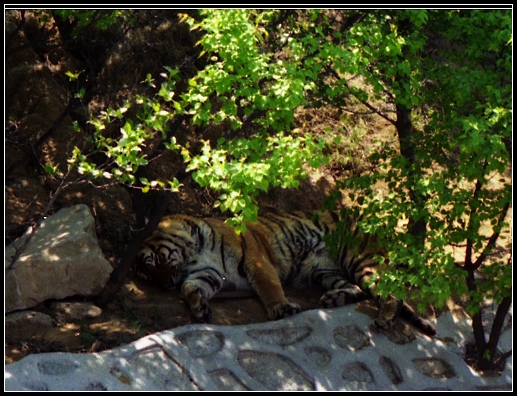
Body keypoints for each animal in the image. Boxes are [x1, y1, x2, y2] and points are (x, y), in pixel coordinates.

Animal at [134, 209, 436, 336]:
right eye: (149, 277)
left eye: (159, 259)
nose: (167, 284)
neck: (194, 253)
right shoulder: (208, 273)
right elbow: (192, 287)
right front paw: (199, 309)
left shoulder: (255, 260)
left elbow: (269, 287)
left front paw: (281, 309)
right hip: (325, 269)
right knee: (358, 288)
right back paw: (334, 298)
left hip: (360, 259)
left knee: (392, 292)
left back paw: (384, 320)